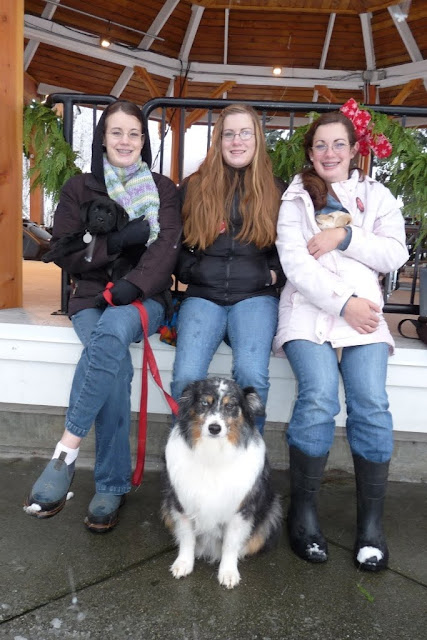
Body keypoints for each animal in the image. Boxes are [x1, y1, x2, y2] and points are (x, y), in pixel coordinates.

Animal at [162, 377, 282, 589]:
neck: (213, 452)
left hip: (272, 511)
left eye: (231, 406)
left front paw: (228, 572)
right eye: (204, 403)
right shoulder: (181, 504)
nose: (214, 428)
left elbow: (230, 544)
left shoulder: (240, 511)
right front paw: (183, 564)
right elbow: (187, 538)